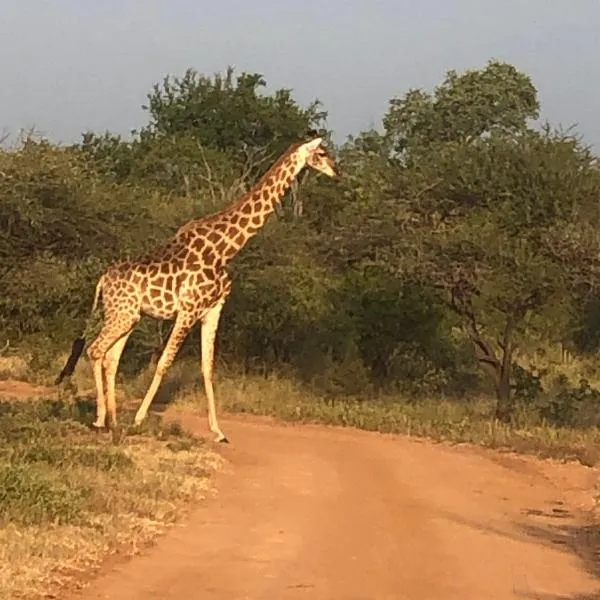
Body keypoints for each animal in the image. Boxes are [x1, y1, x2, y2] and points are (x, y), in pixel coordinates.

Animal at [55, 134, 338, 440]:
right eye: (322, 153)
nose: (336, 170)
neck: (225, 250)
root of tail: (102, 280)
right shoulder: (188, 310)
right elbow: (165, 361)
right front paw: (140, 419)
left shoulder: (213, 310)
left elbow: (207, 367)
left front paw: (218, 431)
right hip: (122, 315)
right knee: (96, 350)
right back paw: (100, 419)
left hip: (129, 316)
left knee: (110, 358)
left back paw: (114, 420)